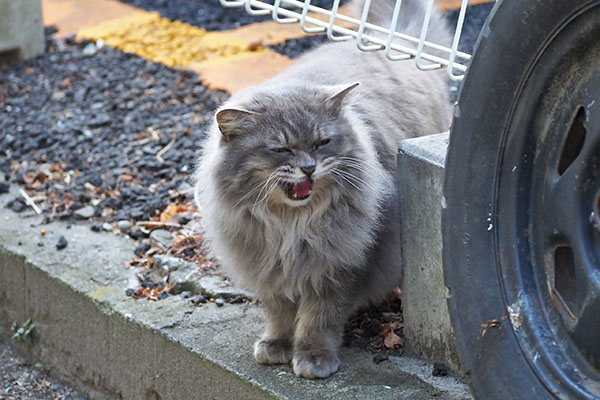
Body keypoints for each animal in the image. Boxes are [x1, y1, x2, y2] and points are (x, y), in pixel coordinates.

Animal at [195, 0, 452, 378]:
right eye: (281, 149)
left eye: (321, 143)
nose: (308, 167)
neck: (289, 227)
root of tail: (388, 44)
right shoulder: (269, 267)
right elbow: (280, 314)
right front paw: (277, 345)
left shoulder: (341, 265)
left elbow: (319, 319)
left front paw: (313, 359)